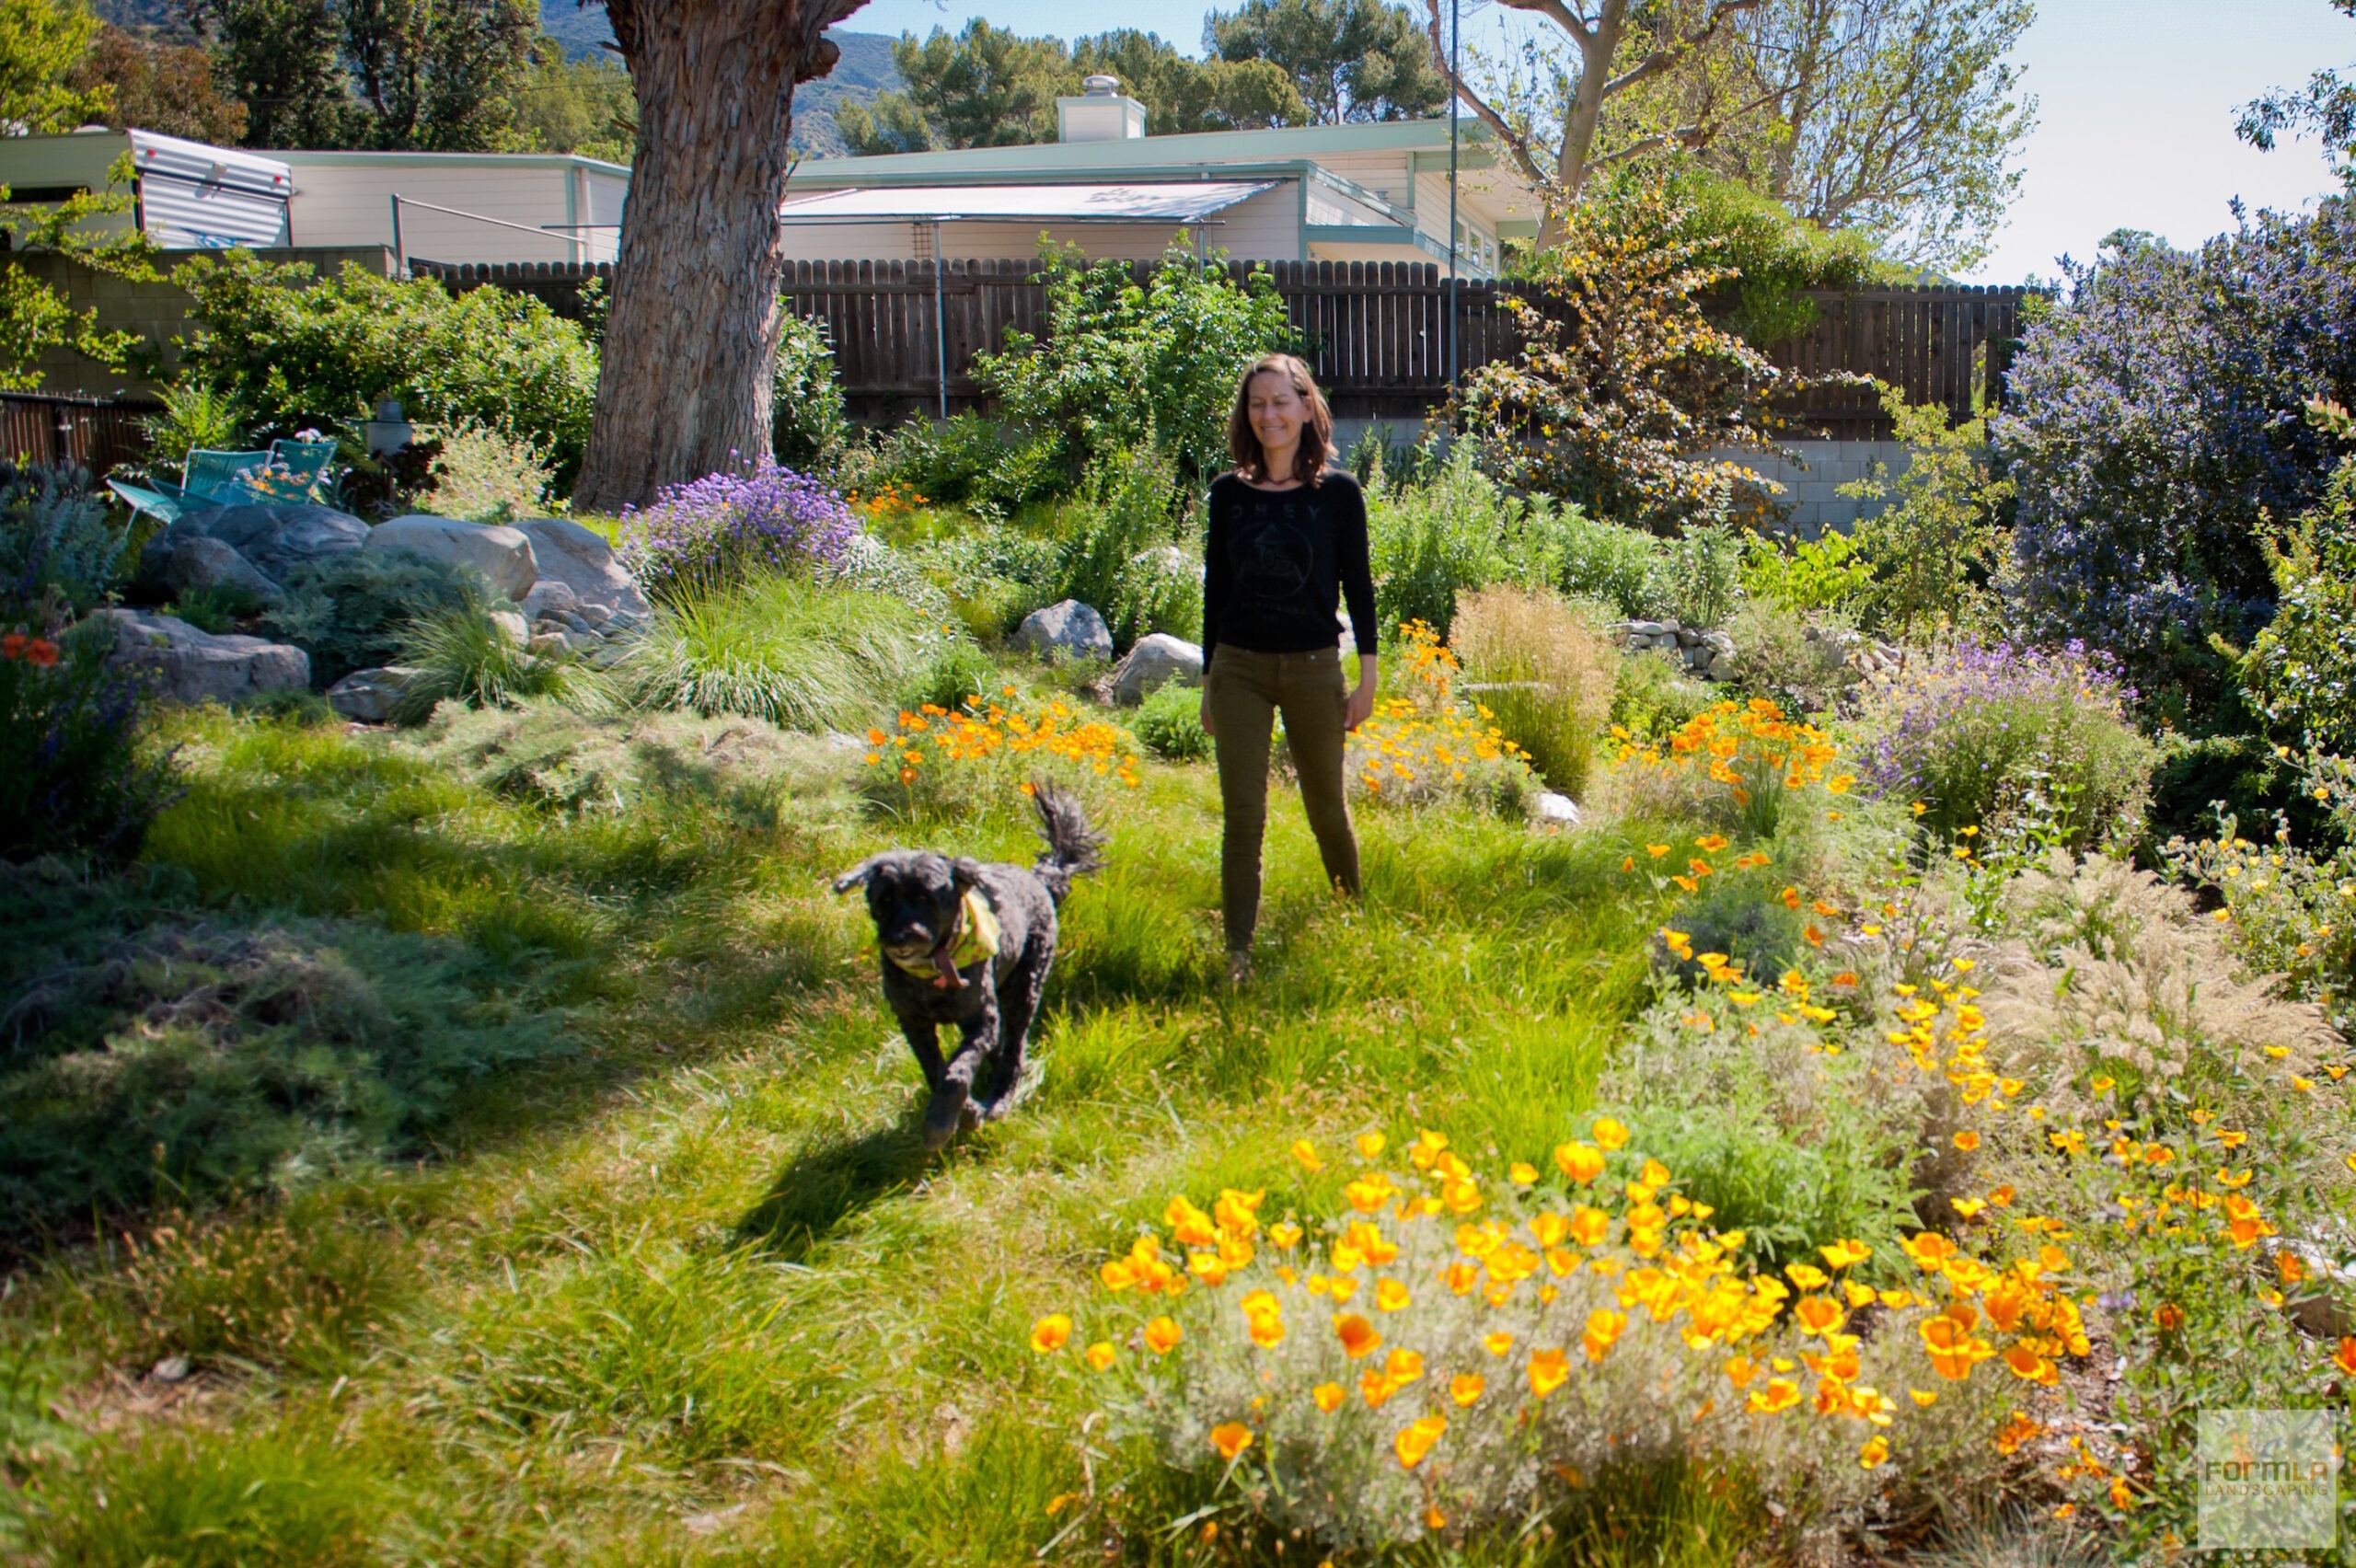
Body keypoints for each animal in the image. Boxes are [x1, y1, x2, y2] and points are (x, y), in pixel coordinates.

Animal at [838, 786, 1103, 1144]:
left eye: (925, 898)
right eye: (885, 899)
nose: (901, 937)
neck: (933, 972)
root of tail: (1040, 880)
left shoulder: (981, 1020)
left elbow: (956, 1073)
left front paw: (942, 1120)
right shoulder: (914, 1024)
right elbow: (938, 1072)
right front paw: (964, 1113)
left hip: (1025, 987)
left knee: (1013, 1050)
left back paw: (1000, 1099)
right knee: (1000, 1050)